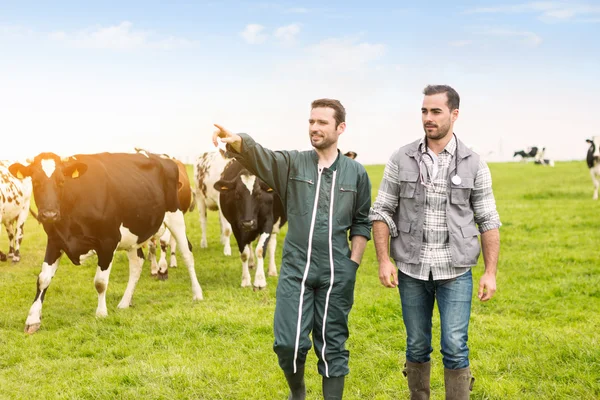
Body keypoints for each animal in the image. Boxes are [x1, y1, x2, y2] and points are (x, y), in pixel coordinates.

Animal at [9, 152, 204, 332]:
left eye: (62, 181)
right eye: (35, 181)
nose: (49, 214)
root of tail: (164, 158)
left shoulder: (108, 242)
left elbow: (100, 282)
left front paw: (101, 313)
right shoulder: (56, 241)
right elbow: (43, 279)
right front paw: (33, 319)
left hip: (175, 216)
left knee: (187, 254)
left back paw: (197, 293)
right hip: (134, 234)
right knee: (137, 263)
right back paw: (125, 302)